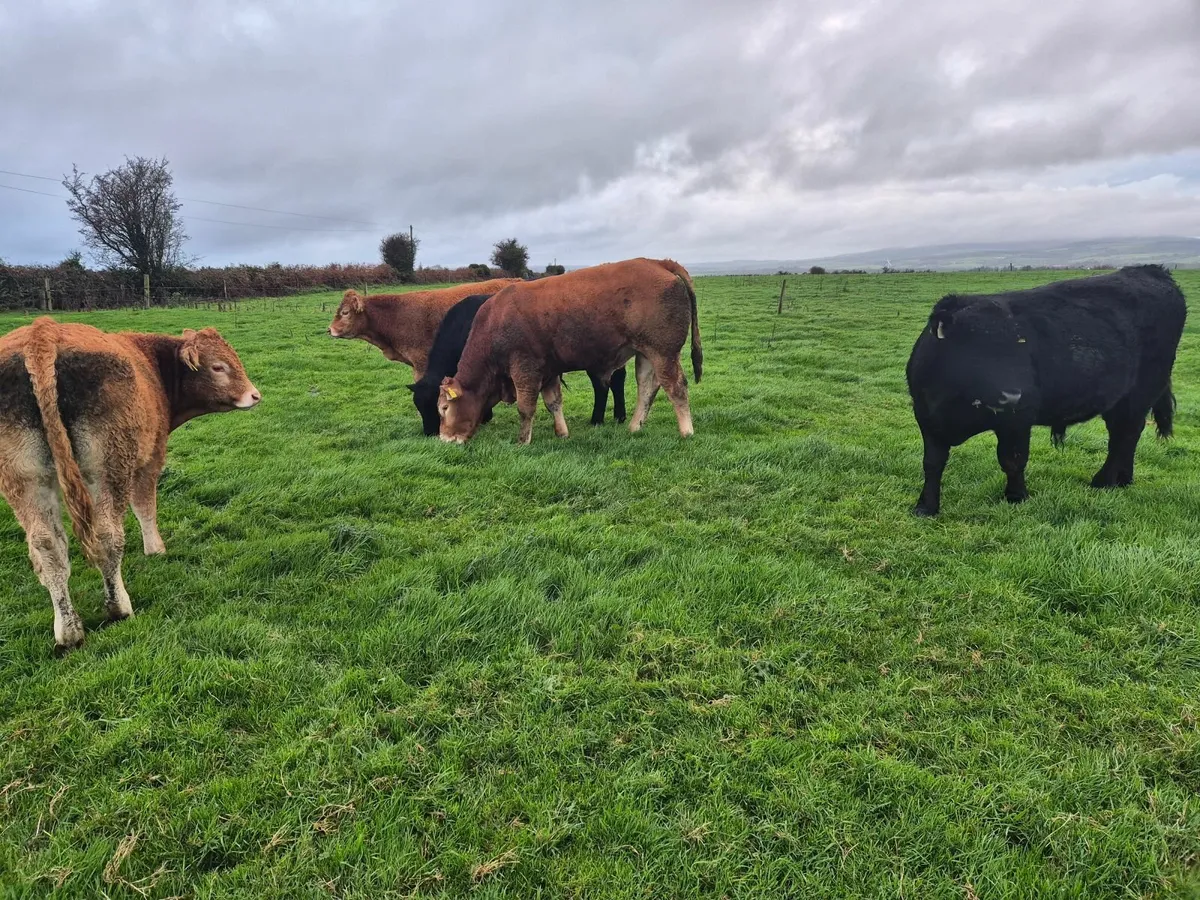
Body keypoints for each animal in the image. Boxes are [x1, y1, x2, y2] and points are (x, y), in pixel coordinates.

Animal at [0, 317, 260, 653]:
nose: (255, 395)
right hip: (109, 466)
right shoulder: (150, 459)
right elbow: (145, 506)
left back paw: (68, 631)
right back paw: (119, 608)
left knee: (47, 545)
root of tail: (41, 333)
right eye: (218, 367)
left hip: (24, 478)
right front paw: (156, 549)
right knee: (107, 536)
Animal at [407, 293, 627, 436]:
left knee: (603, 385)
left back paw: (598, 419)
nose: (429, 433)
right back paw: (619, 416)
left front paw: (484, 416)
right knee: (615, 381)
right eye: (418, 405)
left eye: (440, 406)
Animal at [438, 258, 701, 444]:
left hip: (663, 352)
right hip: (645, 353)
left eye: (444, 408)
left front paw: (523, 441)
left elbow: (525, 408)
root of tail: (657, 262)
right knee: (647, 387)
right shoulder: (549, 371)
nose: (444, 438)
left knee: (676, 387)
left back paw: (686, 430)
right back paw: (635, 426)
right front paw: (561, 432)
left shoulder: (525, 369)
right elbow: (553, 402)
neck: (495, 321)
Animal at [906, 265, 1186, 517]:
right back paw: (1123, 479)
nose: (1012, 395)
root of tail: (1151, 270)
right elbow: (932, 463)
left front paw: (1016, 496)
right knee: (1126, 435)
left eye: (1018, 346)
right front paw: (926, 506)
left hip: (1140, 391)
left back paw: (1104, 481)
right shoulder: (927, 418)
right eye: (974, 347)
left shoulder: (1018, 419)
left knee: (1124, 435)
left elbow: (1012, 459)